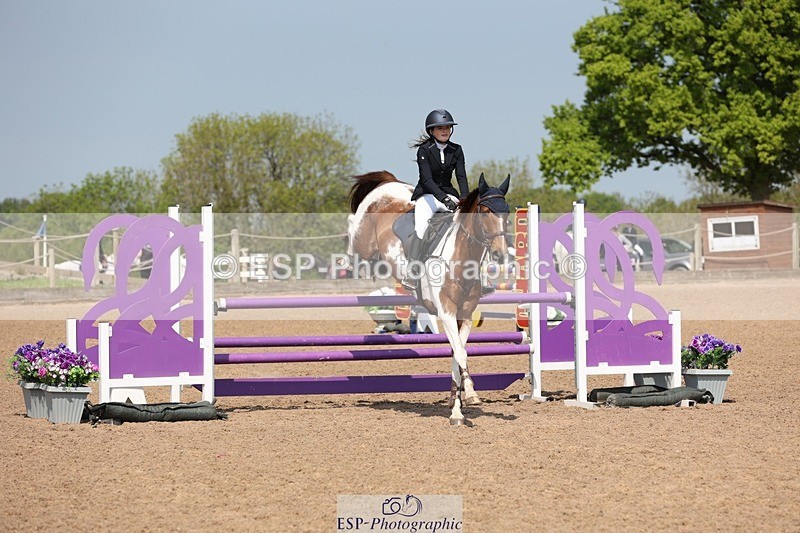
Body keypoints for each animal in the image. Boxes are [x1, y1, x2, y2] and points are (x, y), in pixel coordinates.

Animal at [347, 170, 511, 425]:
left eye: (507, 213)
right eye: (484, 212)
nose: (500, 255)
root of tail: (389, 182)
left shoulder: (463, 315)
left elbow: (457, 353)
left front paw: (456, 411)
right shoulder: (447, 312)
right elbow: (461, 352)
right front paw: (471, 394)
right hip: (362, 238)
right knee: (352, 231)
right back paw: (350, 264)